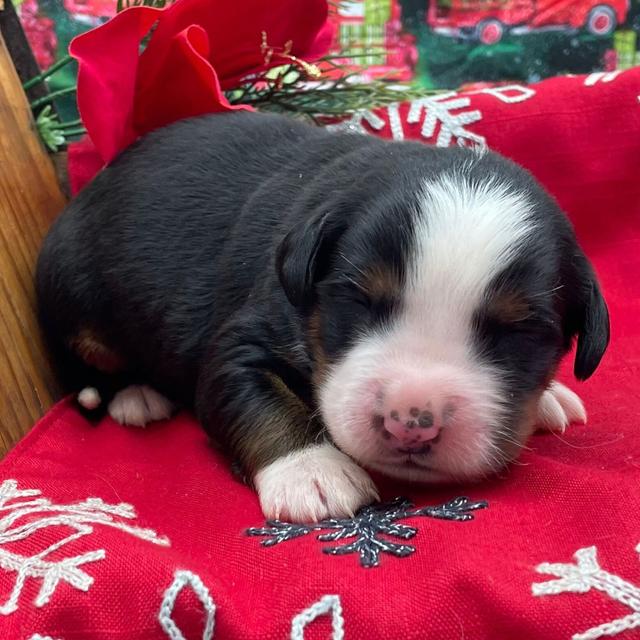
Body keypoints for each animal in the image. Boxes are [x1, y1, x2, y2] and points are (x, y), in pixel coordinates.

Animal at [36, 111, 608, 520]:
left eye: (517, 331)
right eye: (359, 300)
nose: (411, 423)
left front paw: (548, 397)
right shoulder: (247, 334)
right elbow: (257, 397)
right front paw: (312, 470)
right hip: (74, 291)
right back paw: (134, 394)